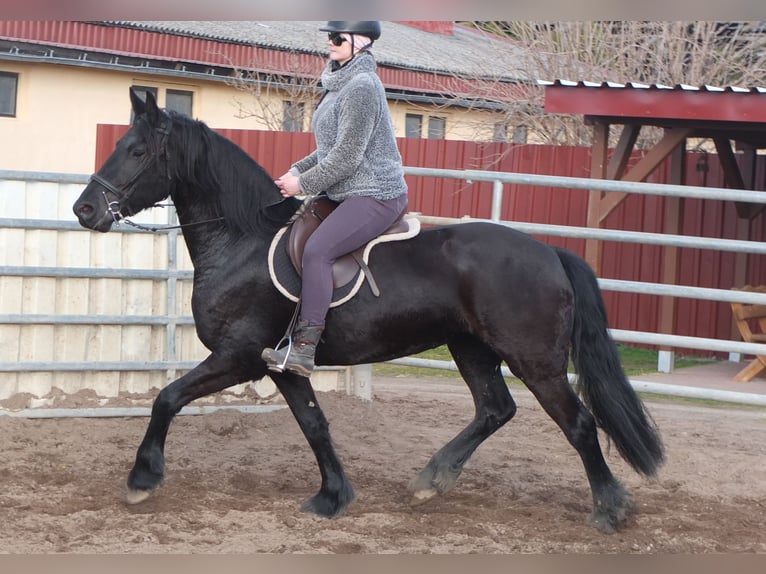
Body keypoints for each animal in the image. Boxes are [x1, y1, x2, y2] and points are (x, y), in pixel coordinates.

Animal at [73, 90, 664, 536]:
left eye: (137, 151)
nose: (84, 209)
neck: (243, 241)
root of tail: (551, 252)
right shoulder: (280, 364)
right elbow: (314, 425)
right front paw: (333, 496)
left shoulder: (237, 357)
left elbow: (166, 399)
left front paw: (142, 479)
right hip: (471, 348)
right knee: (495, 409)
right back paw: (433, 479)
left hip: (534, 360)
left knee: (578, 423)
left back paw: (609, 509)